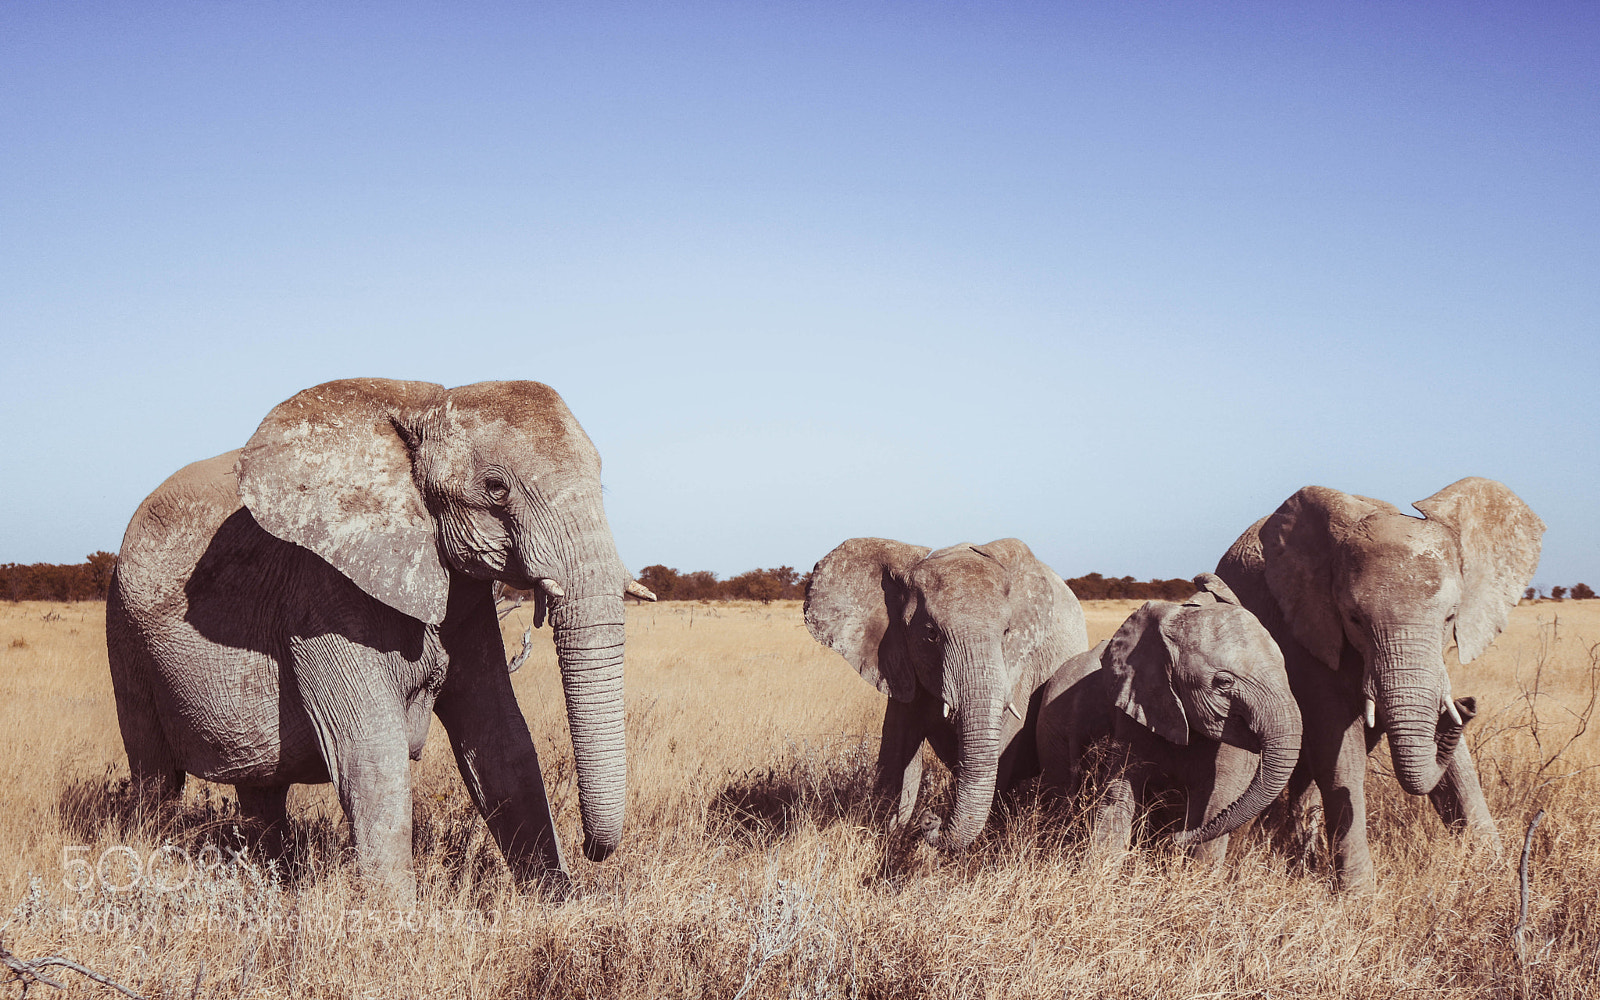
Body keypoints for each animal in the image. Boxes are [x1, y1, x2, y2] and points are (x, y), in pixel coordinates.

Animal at [106, 378, 654, 898]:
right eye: (496, 489)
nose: (592, 851)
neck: (424, 407)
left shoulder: (464, 599)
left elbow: (501, 739)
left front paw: (558, 900)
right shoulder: (321, 594)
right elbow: (370, 756)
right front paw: (399, 922)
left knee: (262, 790)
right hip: (124, 628)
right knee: (155, 777)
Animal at [804, 537, 1088, 850]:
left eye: (1007, 632)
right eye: (931, 634)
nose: (930, 819)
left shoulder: (1020, 669)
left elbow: (1001, 749)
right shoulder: (900, 661)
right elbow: (896, 748)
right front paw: (887, 835)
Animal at [1215, 477, 1544, 890]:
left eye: (1450, 618)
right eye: (1354, 618)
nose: (1467, 706)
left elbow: (1457, 766)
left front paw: (1495, 871)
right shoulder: (1307, 631)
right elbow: (1339, 751)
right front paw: (1359, 895)